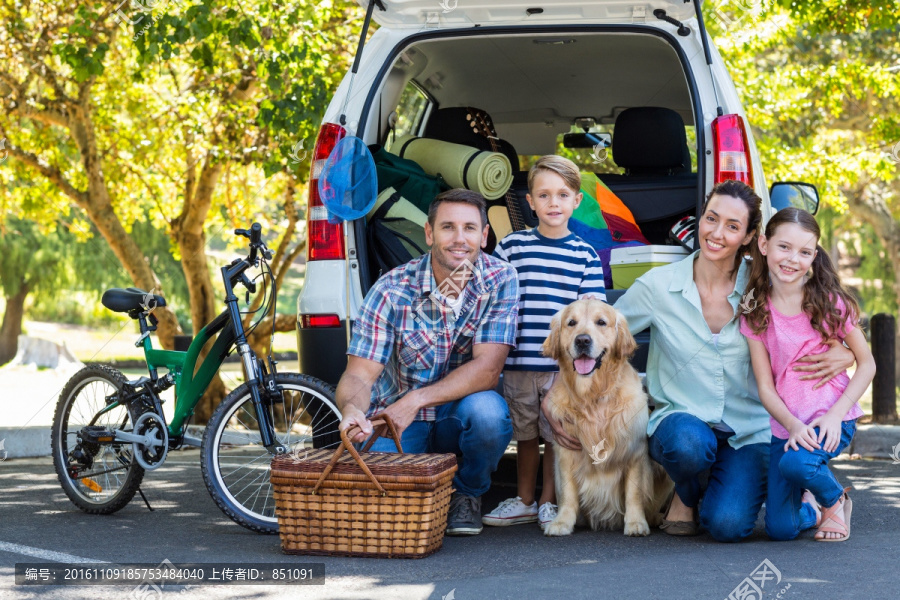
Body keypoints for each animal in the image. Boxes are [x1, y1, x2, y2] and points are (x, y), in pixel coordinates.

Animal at [540, 298, 668, 536]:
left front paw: (635, 523)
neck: (594, 395)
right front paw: (562, 522)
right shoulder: (565, 453)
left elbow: (634, 493)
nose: (582, 340)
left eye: (601, 322)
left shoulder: (635, 451)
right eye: (571, 323)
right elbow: (568, 493)